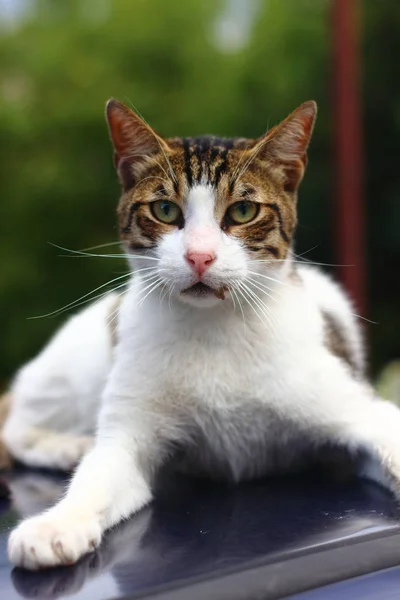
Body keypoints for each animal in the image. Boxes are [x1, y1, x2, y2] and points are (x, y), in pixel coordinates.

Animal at [4, 98, 400, 572]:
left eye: (243, 212)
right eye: (165, 210)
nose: (199, 256)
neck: (215, 327)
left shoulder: (357, 411)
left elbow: (385, 438)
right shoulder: (128, 437)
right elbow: (99, 475)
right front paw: (56, 524)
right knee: (16, 427)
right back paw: (69, 446)